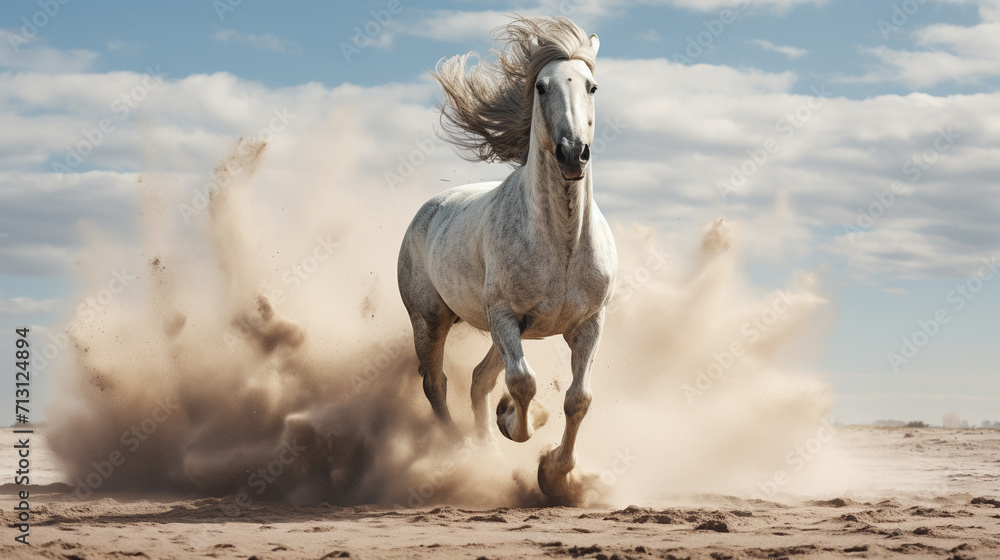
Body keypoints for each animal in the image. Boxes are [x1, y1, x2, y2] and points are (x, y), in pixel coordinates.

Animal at [397, 16, 617, 501]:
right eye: (540, 86)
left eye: (591, 86)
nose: (573, 153)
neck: (561, 246)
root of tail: (429, 209)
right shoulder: (504, 315)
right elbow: (523, 382)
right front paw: (512, 421)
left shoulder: (589, 323)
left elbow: (579, 399)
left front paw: (556, 475)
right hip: (432, 319)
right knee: (437, 384)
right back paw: (465, 451)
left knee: (479, 378)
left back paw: (488, 450)